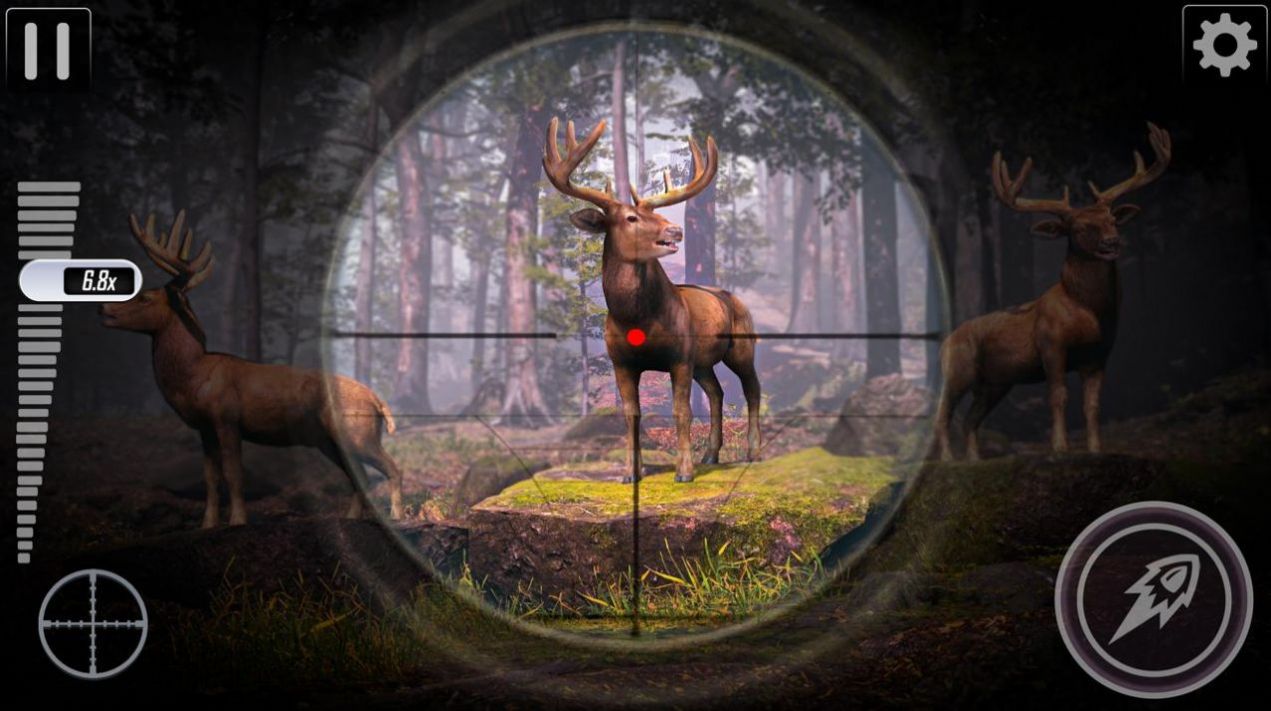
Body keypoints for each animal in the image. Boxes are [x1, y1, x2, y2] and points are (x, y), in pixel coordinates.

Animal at [100, 210, 405, 527]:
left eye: (145, 297)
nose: (104, 309)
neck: (193, 376)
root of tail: (377, 401)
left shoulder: (226, 417)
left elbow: (234, 474)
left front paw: (237, 520)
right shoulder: (204, 427)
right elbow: (210, 478)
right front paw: (208, 524)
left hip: (358, 432)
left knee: (390, 467)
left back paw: (396, 516)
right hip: (328, 440)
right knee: (362, 475)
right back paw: (352, 517)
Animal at [543, 117, 761, 483]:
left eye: (657, 215)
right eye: (631, 218)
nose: (675, 230)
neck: (635, 321)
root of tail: (737, 300)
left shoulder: (680, 355)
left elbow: (681, 410)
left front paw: (684, 472)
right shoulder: (621, 361)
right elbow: (632, 413)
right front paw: (631, 473)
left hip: (742, 344)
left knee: (752, 388)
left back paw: (753, 453)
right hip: (703, 360)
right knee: (717, 392)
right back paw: (711, 455)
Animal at [934, 123, 1171, 460]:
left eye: (1112, 220)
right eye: (1079, 228)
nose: (1112, 242)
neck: (1091, 312)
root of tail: (945, 343)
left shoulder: (1098, 355)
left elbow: (1092, 405)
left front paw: (1096, 450)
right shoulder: (1051, 343)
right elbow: (1058, 395)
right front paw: (1059, 448)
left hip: (995, 382)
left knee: (970, 419)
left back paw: (974, 462)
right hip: (957, 370)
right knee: (943, 415)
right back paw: (947, 460)